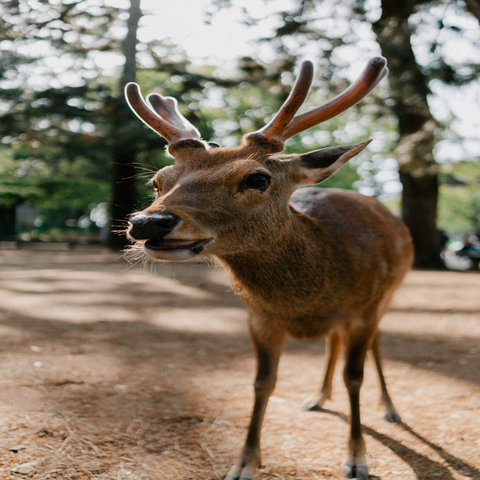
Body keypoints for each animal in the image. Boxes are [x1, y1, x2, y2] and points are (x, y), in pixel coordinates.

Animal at [124, 57, 412, 480]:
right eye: (158, 181)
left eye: (257, 178)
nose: (148, 222)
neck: (306, 301)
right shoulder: (258, 316)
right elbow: (263, 383)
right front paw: (245, 462)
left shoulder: (364, 310)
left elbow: (354, 378)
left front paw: (357, 458)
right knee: (333, 341)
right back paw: (317, 396)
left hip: (388, 295)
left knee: (374, 344)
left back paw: (390, 408)